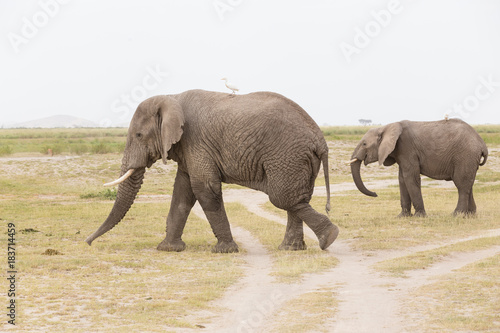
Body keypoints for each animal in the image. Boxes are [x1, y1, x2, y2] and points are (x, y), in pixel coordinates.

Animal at [86, 89, 338, 252]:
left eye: (138, 135)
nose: (87, 242)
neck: (172, 98)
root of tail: (320, 140)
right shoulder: (189, 148)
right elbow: (182, 191)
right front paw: (168, 249)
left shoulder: (195, 141)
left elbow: (204, 188)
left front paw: (225, 250)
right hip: (298, 160)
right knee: (296, 199)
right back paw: (291, 248)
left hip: (287, 155)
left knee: (283, 198)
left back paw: (328, 239)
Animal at [350, 118, 486, 215]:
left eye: (364, 144)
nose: (376, 194)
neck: (386, 127)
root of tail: (482, 143)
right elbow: (402, 179)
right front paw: (402, 216)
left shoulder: (407, 148)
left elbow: (410, 177)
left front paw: (419, 215)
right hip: (468, 158)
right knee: (468, 183)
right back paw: (470, 214)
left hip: (465, 155)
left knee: (461, 184)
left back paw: (457, 214)